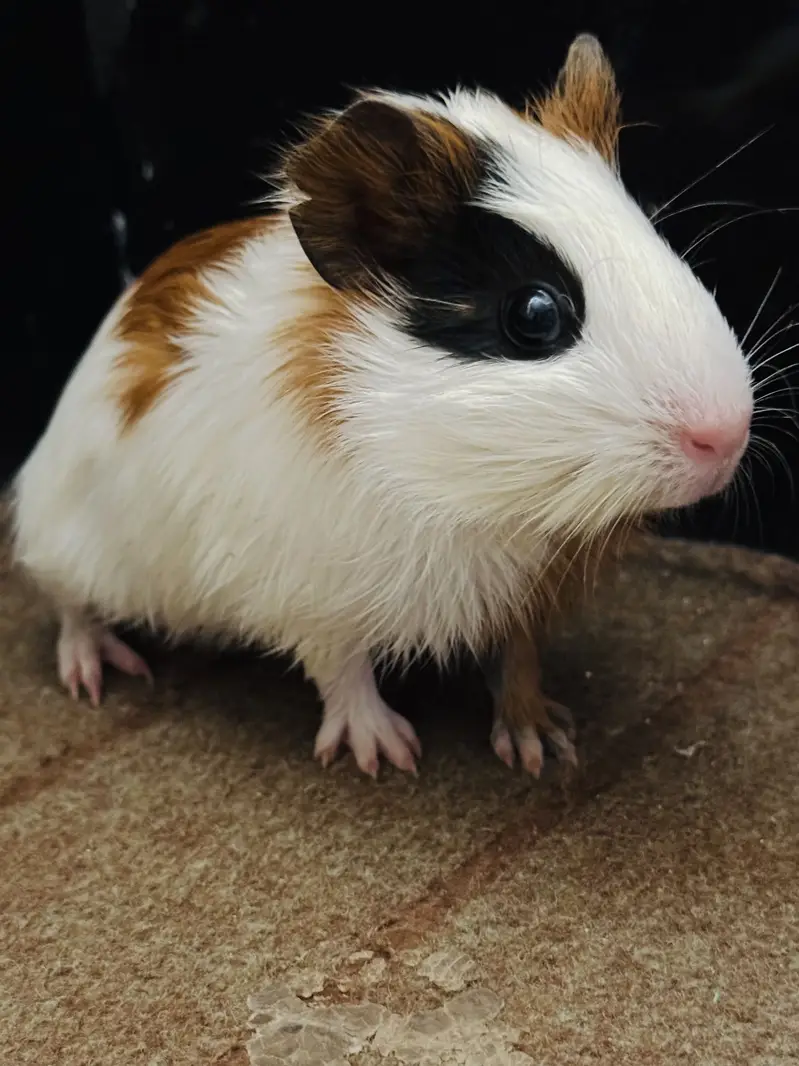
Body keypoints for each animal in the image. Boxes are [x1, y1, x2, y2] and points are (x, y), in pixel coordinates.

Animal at [11, 34, 754, 778]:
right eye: (534, 314)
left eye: (656, 239)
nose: (726, 435)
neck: (490, 511)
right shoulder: (314, 601)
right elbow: (344, 673)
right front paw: (386, 755)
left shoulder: (524, 599)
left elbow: (517, 664)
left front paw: (542, 746)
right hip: (72, 551)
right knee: (69, 607)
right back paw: (97, 677)